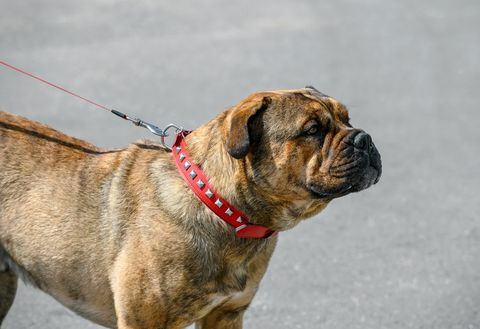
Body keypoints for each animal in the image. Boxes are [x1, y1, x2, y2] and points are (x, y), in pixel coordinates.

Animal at [0, 87, 382, 328]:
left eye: (347, 118)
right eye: (312, 130)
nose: (364, 139)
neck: (220, 206)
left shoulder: (226, 315)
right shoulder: (142, 321)